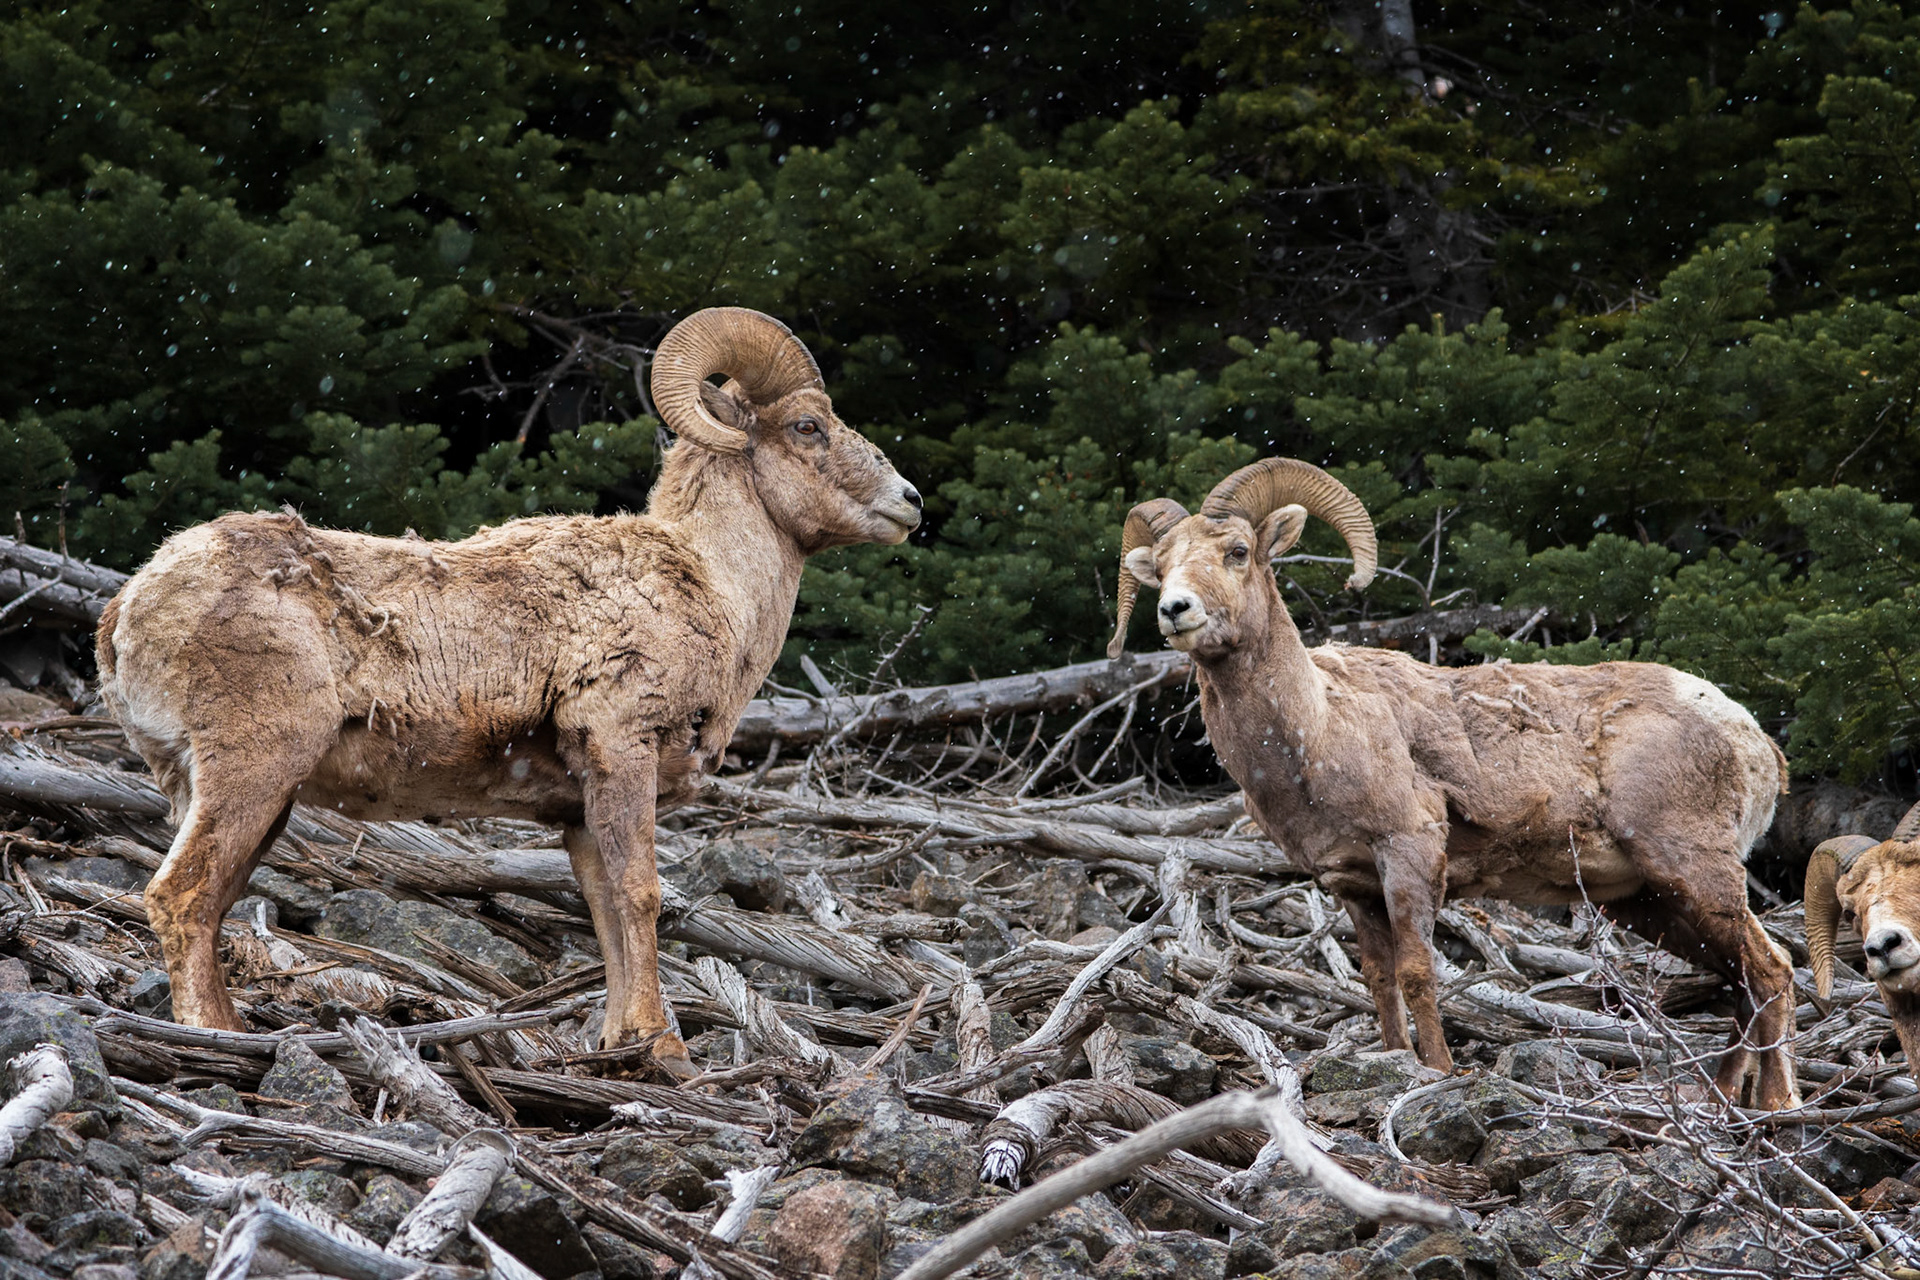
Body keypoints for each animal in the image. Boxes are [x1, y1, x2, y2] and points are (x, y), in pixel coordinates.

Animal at [94, 306, 923, 1078]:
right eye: (808, 426)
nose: (910, 502)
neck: (716, 587)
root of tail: (131, 604)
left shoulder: (581, 811)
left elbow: (606, 915)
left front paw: (623, 1045)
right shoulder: (623, 750)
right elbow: (642, 896)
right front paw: (665, 1050)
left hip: (234, 794)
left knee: (210, 904)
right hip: (252, 771)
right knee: (182, 897)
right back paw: (215, 1039)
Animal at [1107, 457, 1800, 1108]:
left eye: (1237, 551)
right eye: (1160, 567)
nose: (1175, 610)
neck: (1319, 726)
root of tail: (1751, 738)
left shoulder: (1410, 853)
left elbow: (1417, 972)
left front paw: (1437, 1071)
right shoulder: (1354, 886)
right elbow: (1379, 978)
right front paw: (1392, 1059)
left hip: (1692, 869)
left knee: (1771, 969)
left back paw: (1775, 1103)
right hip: (1646, 902)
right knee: (1741, 977)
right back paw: (1722, 1097)